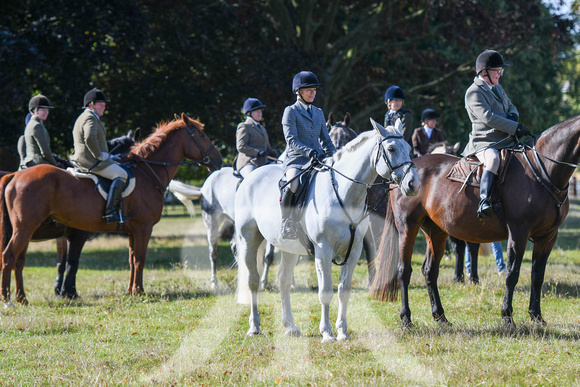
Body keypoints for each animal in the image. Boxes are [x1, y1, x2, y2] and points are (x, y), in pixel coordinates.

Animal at [0, 113, 222, 304]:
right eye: (202, 135)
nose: (219, 161)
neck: (147, 172)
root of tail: (14, 176)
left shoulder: (132, 231)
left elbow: (131, 260)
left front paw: (130, 291)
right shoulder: (142, 228)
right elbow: (139, 259)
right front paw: (139, 292)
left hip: (27, 231)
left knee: (18, 260)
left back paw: (22, 299)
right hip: (24, 229)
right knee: (9, 256)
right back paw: (8, 300)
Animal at [372, 116, 580, 328]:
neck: (541, 170)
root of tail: (404, 172)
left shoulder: (547, 237)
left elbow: (537, 276)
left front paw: (537, 316)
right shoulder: (518, 233)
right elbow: (512, 274)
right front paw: (507, 317)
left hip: (436, 231)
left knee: (430, 271)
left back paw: (441, 316)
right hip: (407, 227)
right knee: (404, 271)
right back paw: (406, 318)